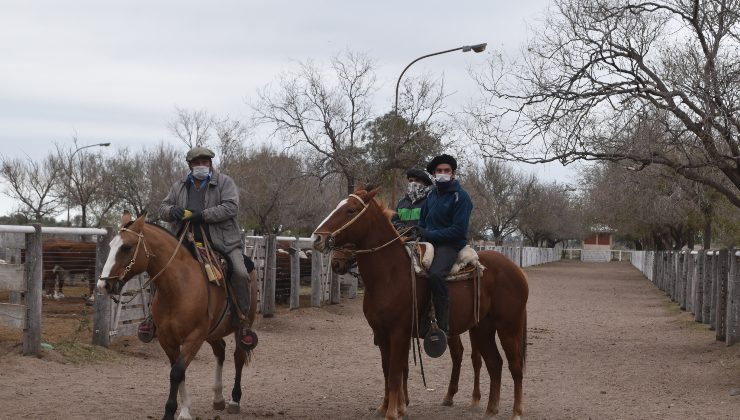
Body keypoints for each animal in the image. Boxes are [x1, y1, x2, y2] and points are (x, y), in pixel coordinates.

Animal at [96, 215, 258, 420]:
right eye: (111, 245)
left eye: (127, 247)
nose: (103, 285)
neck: (178, 286)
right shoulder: (167, 339)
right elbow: (178, 372)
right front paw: (185, 409)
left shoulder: (194, 337)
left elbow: (177, 372)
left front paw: (170, 412)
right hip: (212, 332)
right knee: (220, 350)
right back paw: (218, 398)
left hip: (241, 327)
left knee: (238, 356)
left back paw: (234, 400)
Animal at [312, 189, 528, 420]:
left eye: (350, 210)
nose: (318, 237)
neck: (390, 275)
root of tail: (515, 269)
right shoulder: (382, 334)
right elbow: (388, 370)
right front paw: (387, 406)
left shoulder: (399, 332)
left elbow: (396, 372)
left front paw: (394, 411)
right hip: (482, 328)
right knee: (494, 363)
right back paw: (490, 409)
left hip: (508, 328)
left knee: (514, 366)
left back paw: (516, 412)